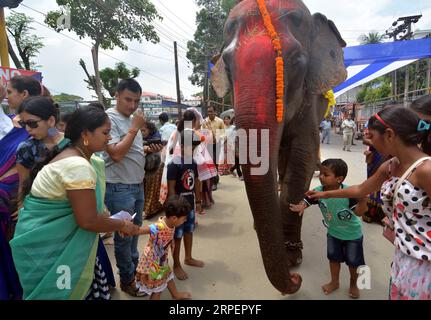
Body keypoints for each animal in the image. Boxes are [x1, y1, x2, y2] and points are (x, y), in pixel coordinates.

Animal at [212, 0, 348, 296]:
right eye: (226, 64)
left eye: (296, 61)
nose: (296, 281)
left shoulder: (310, 103)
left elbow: (302, 157)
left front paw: (292, 257)